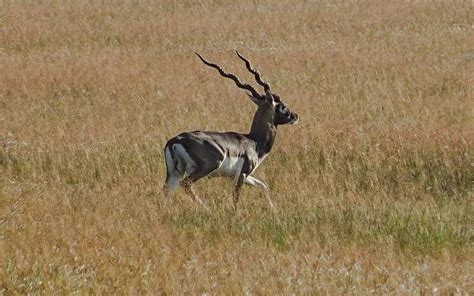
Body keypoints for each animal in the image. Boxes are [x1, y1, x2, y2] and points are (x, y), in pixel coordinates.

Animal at [162, 51, 296, 208]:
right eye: (282, 106)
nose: (295, 116)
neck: (254, 142)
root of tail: (174, 141)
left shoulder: (241, 176)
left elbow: (263, 186)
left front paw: (273, 208)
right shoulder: (242, 175)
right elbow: (236, 198)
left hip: (175, 173)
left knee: (166, 191)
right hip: (206, 167)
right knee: (186, 184)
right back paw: (206, 208)